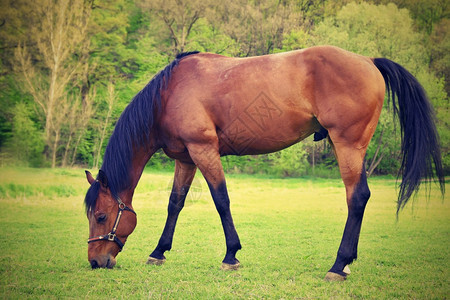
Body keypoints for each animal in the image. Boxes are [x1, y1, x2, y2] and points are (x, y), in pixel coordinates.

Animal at [83, 45, 442, 280]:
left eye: (101, 216)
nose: (96, 261)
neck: (170, 92)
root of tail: (368, 60)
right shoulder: (186, 158)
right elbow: (176, 203)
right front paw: (159, 252)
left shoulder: (204, 150)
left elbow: (221, 200)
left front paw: (231, 255)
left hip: (348, 146)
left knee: (357, 197)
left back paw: (339, 265)